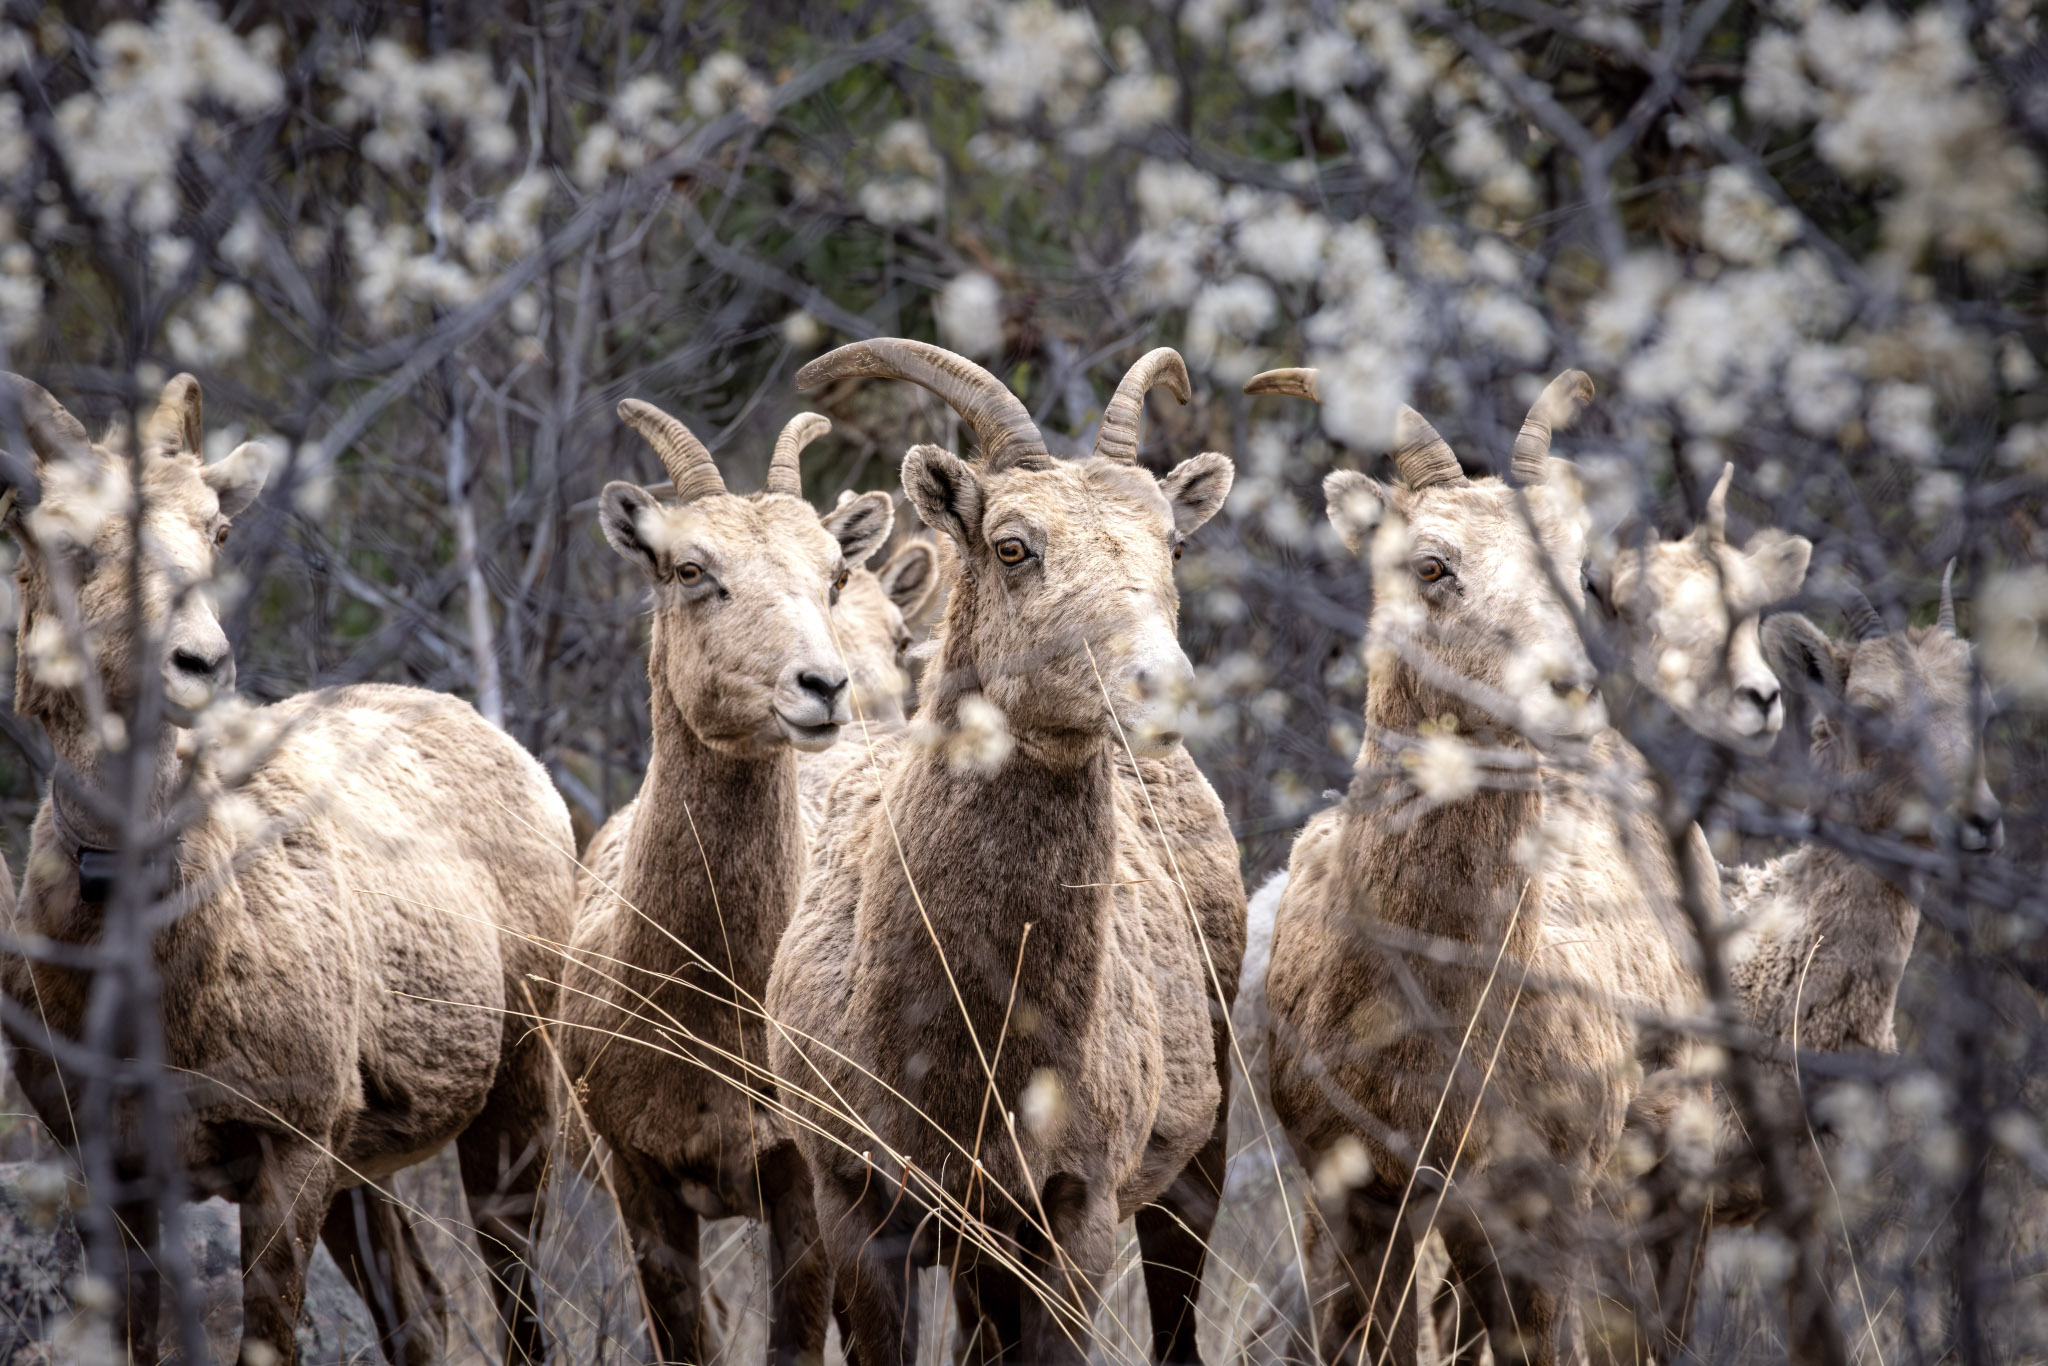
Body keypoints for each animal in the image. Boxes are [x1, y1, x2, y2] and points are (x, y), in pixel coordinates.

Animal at [0, 373, 575, 1366]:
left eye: (217, 528)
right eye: (64, 538)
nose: (198, 662)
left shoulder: (292, 1146)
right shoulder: (106, 1168)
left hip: (518, 1096)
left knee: (516, 1310)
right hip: (368, 1169)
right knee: (421, 1312)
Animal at [765, 339, 1238, 1364]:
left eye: (1172, 545)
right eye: (1014, 545)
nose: (1164, 688)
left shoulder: (1073, 1214)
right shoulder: (860, 1209)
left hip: (1195, 1175)